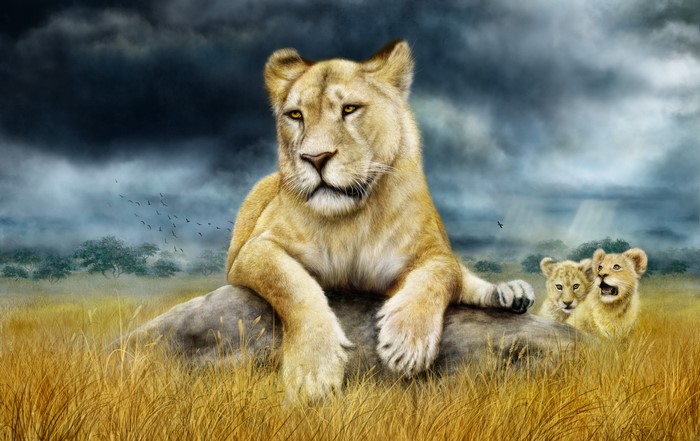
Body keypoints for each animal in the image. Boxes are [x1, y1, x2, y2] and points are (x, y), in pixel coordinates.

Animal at [225, 40, 535, 400]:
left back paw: (512, 292)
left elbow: (440, 276)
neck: (351, 220)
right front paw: (313, 371)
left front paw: (406, 343)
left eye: (349, 109)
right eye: (296, 115)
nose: (315, 158)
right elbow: (292, 284)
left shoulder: (430, 254)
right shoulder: (256, 249)